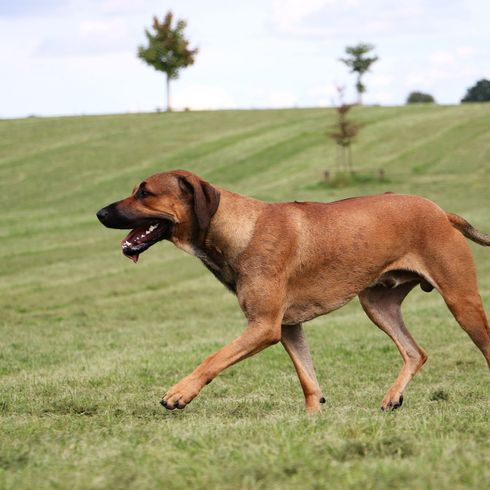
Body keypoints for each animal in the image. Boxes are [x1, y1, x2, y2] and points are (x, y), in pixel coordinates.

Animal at [96, 170, 490, 412]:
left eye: (144, 192)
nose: (100, 213)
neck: (238, 228)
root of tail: (442, 213)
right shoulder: (288, 327)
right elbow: (307, 378)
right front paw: (313, 417)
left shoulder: (264, 326)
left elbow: (214, 358)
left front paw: (180, 392)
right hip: (377, 303)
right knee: (414, 352)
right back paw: (393, 397)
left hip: (461, 300)